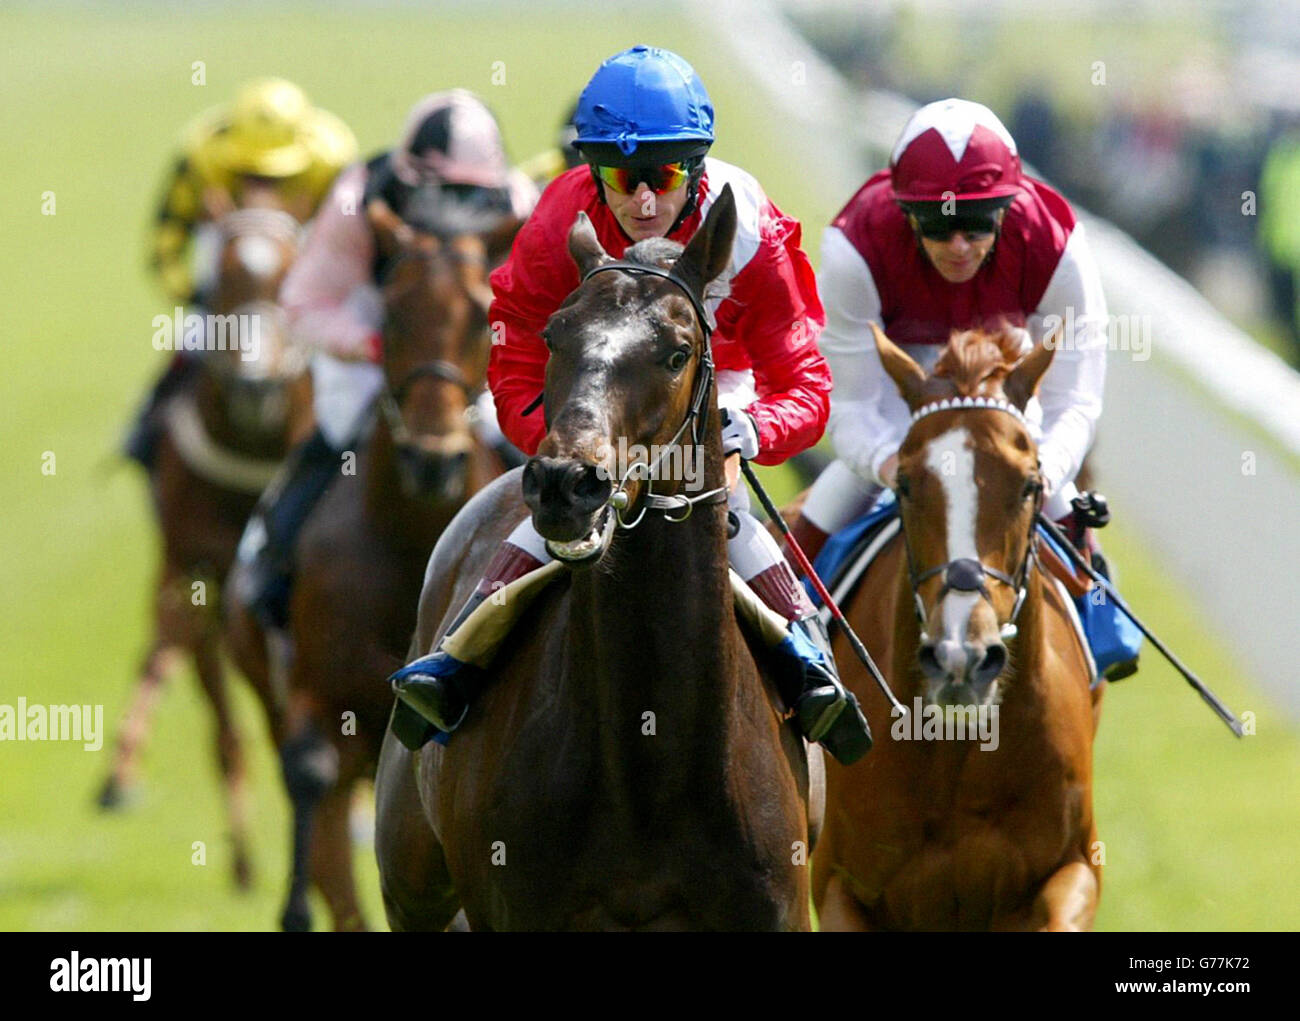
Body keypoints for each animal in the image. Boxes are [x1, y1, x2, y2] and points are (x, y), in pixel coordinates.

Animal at [228, 198, 517, 931]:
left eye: (482, 317)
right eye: (390, 315)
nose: (433, 459)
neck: (411, 539)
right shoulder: (319, 698)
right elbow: (309, 776)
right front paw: (294, 906)